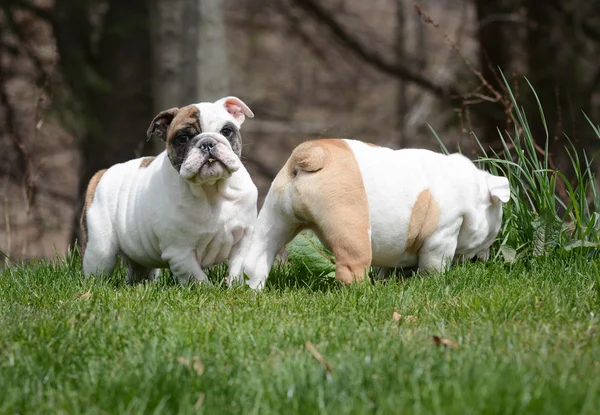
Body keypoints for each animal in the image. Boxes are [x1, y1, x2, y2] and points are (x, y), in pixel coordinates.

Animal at [79, 97, 258, 286]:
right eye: (183, 138)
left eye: (226, 131)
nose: (207, 143)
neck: (211, 189)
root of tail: (102, 173)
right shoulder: (180, 252)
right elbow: (197, 277)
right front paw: (208, 288)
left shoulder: (244, 240)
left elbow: (237, 268)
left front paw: (236, 286)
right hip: (99, 250)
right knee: (98, 269)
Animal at [237, 138, 508, 290]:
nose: (483, 257)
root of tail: (313, 155)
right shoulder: (442, 236)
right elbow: (434, 265)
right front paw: (433, 283)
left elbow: (387, 265)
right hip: (351, 227)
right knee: (351, 268)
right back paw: (363, 293)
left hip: (275, 218)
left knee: (258, 257)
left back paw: (253, 289)